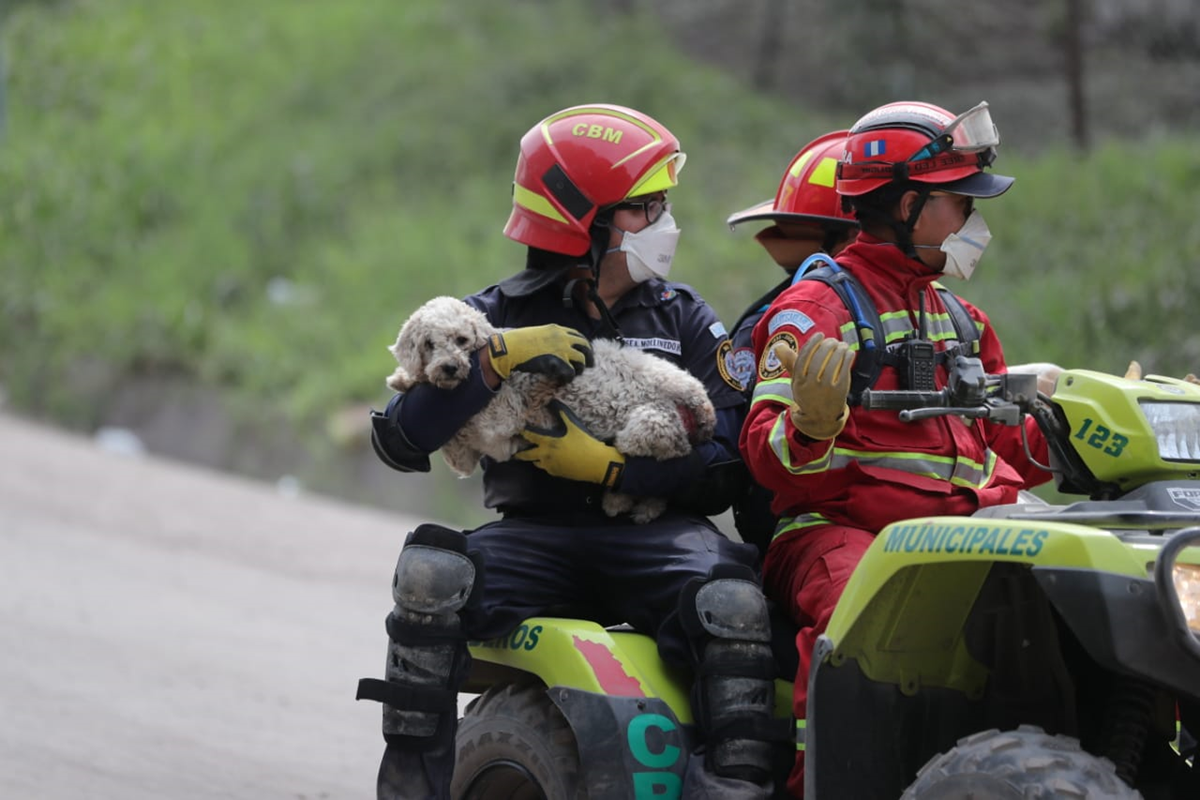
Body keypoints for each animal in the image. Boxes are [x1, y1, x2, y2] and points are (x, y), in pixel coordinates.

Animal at [388, 297, 715, 522]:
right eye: (429, 343)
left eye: (461, 339)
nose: (449, 368)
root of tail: (700, 403)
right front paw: (403, 379)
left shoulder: (499, 422)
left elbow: (464, 434)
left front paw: (409, 379)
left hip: (647, 426)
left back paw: (619, 501)